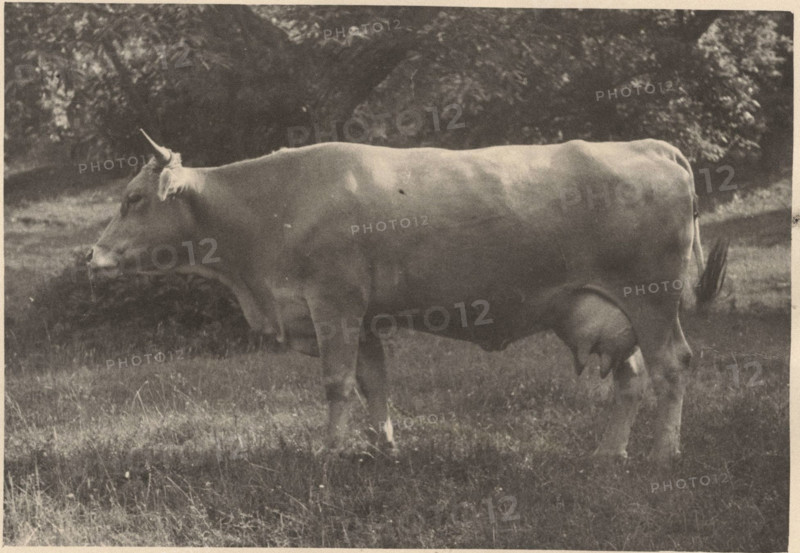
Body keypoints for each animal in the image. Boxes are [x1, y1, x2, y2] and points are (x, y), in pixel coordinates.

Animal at [88, 131, 728, 465]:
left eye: (134, 198)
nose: (92, 256)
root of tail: (649, 145)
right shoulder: (363, 317)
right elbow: (375, 383)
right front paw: (385, 450)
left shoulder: (335, 304)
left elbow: (337, 384)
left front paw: (328, 455)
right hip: (610, 311)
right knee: (632, 379)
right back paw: (607, 455)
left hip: (651, 299)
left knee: (672, 365)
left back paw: (663, 455)